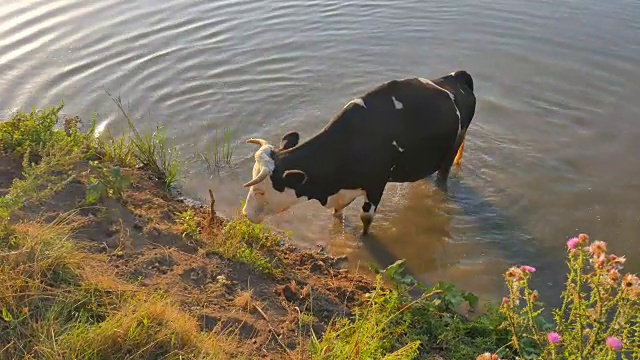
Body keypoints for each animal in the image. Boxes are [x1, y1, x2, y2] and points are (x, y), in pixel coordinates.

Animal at [240, 69, 476, 236]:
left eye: (260, 191)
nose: (246, 214)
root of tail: (456, 76)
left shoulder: (376, 184)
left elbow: (366, 219)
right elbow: (338, 214)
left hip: (451, 151)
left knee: (442, 177)